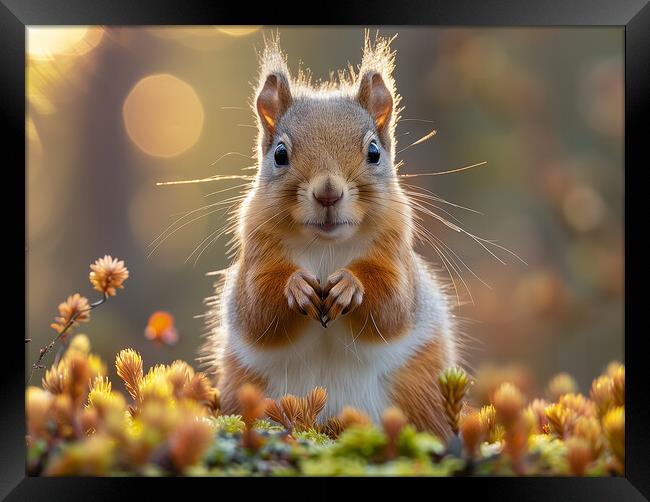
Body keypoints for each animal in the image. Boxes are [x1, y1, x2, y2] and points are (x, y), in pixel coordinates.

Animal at [200, 35, 458, 438]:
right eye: (280, 154)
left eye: (374, 152)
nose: (328, 193)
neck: (325, 248)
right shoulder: (256, 259)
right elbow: (256, 309)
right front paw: (295, 286)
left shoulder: (397, 259)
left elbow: (393, 304)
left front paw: (350, 285)